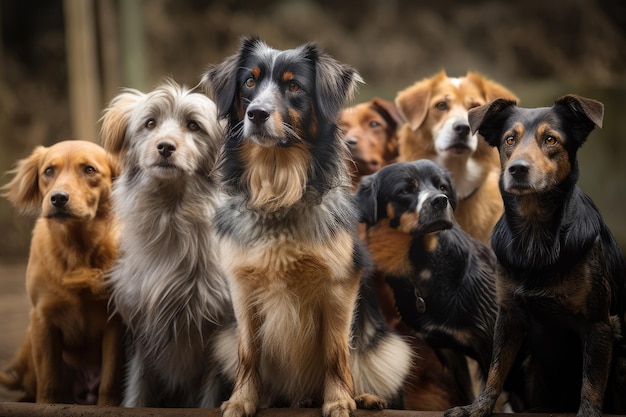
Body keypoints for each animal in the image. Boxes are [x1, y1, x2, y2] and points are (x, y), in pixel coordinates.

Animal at [0, 139, 123, 404]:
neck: (76, 251)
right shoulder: (43, 318)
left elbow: (110, 378)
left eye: (89, 169)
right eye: (48, 171)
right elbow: (49, 380)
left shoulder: (117, 321)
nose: (58, 198)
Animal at [201, 35, 410, 416]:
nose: (256, 114)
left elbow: (335, 352)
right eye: (249, 83)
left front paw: (339, 400)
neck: (278, 190)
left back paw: (363, 397)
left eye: (294, 86)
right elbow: (248, 352)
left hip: (391, 348)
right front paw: (241, 400)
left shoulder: (339, 286)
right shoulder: (243, 289)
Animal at [444, 94, 624, 416]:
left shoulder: (600, 323)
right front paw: (478, 407)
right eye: (509, 139)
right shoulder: (508, 316)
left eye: (551, 139)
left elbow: (591, 382)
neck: (534, 235)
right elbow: (496, 370)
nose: (517, 169)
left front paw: (588, 413)